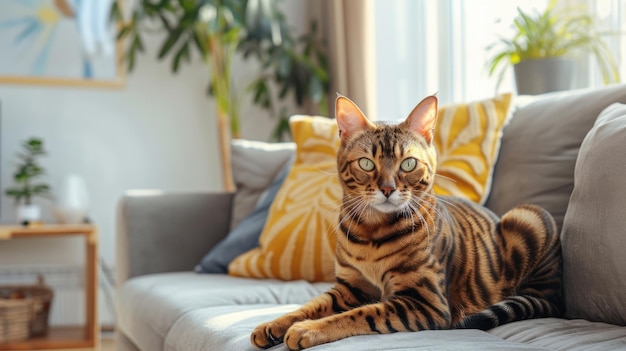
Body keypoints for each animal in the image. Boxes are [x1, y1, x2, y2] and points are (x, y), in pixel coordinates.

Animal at [249, 95, 560, 350]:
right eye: (366, 164)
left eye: (408, 164)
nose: (387, 189)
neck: (371, 231)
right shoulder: (350, 287)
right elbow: (309, 305)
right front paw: (274, 324)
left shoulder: (425, 301)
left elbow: (359, 314)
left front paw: (307, 329)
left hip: (529, 216)